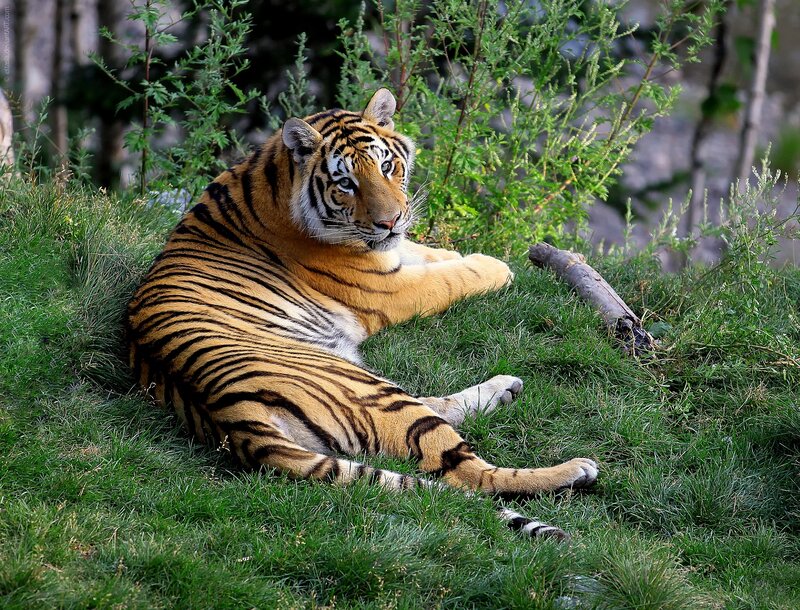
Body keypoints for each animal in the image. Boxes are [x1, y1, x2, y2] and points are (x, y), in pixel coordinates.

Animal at [126, 88, 598, 540]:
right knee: (469, 473)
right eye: (346, 183)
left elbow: (428, 253)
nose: (390, 221)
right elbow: (450, 278)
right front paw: (495, 266)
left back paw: (505, 389)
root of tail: (230, 417)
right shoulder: (389, 288)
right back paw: (574, 470)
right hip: (370, 390)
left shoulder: (393, 254)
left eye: (387, 166)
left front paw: (455, 252)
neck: (274, 177)